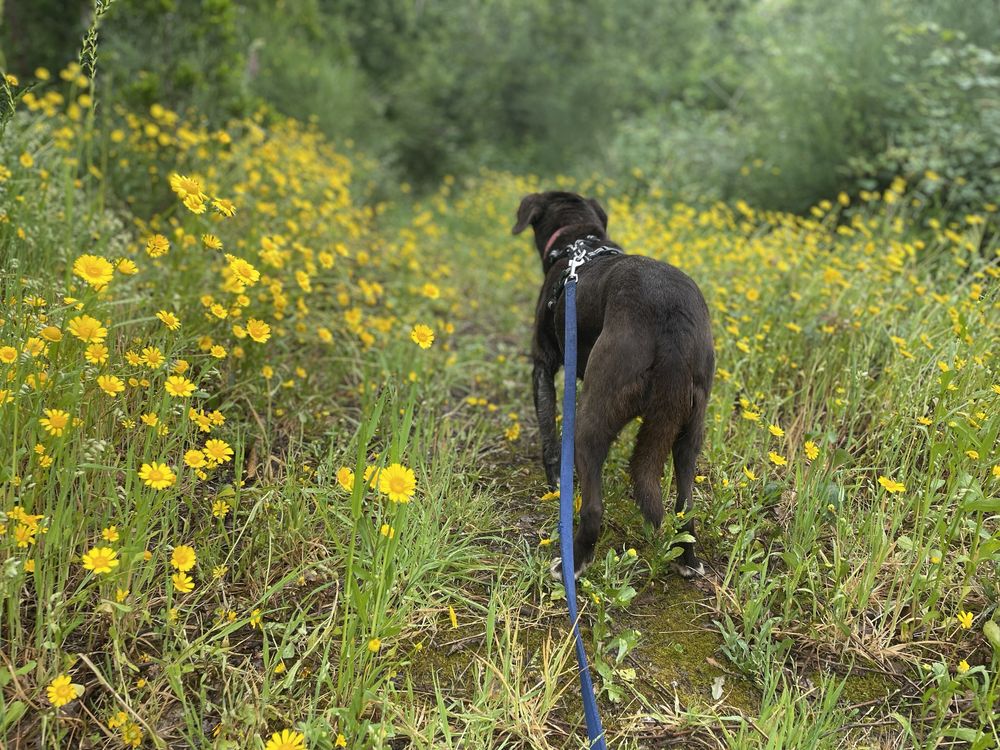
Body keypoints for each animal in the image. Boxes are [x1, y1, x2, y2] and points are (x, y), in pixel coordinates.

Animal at [512, 191, 716, 580]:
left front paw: (554, 483)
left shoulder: (542, 366)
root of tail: (672, 320)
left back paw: (571, 563)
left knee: (593, 510)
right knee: (685, 506)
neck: (579, 241)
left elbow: (548, 434)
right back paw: (689, 561)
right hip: (691, 428)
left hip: (592, 416)